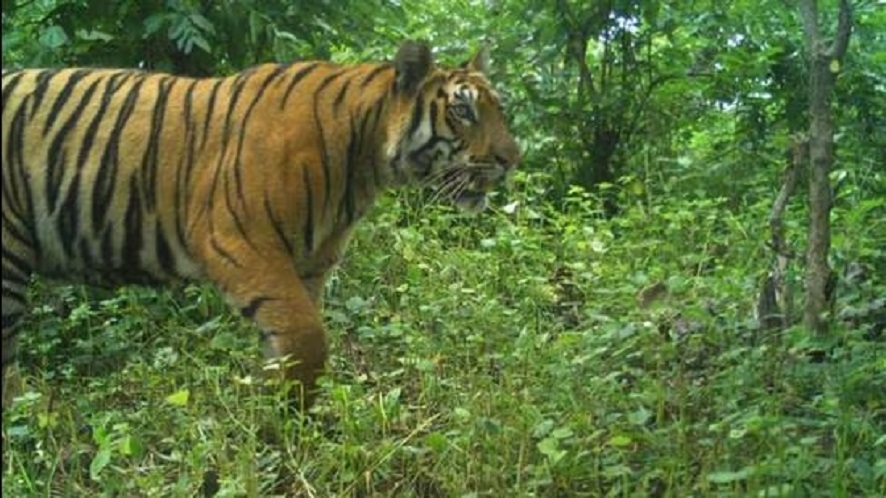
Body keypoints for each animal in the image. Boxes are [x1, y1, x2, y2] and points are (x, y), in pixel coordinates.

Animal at [1, 40, 520, 410]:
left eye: (499, 109)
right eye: (463, 110)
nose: (512, 159)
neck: (364, 161)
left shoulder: (308, 265)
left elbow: (289, 340)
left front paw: (284, 419)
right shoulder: (238, 243)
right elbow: (308, 338)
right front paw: (291, 426)